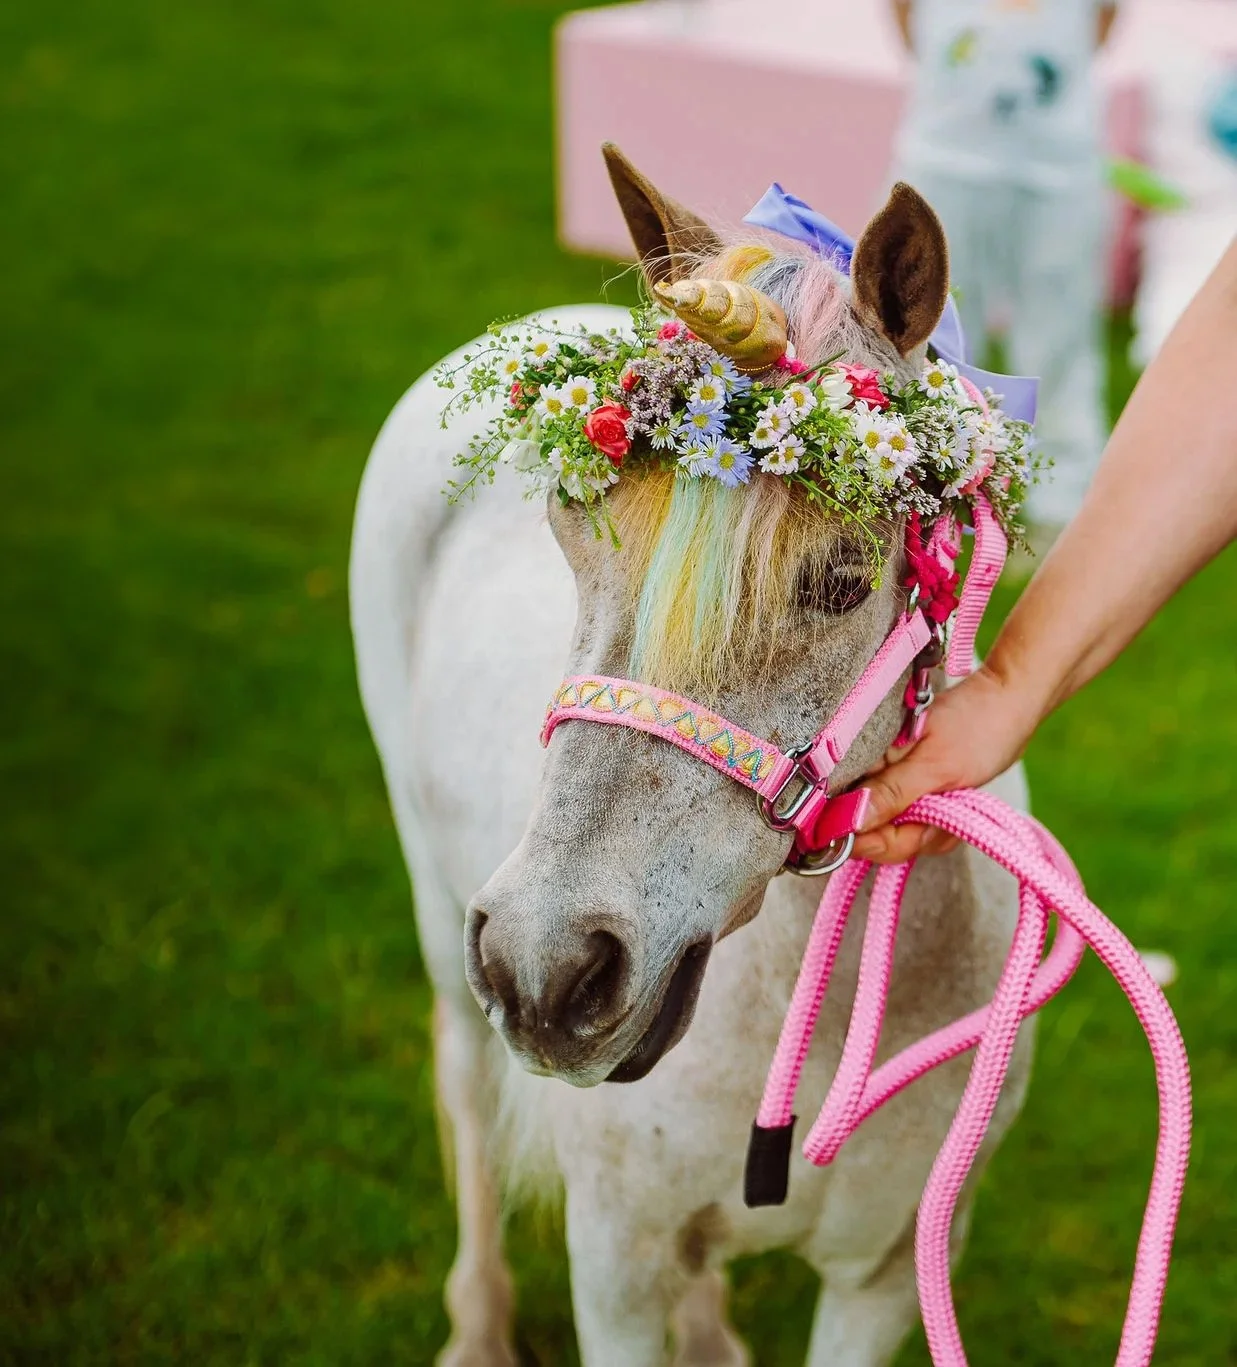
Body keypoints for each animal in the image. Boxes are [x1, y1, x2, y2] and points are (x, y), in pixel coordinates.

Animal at [349, 145, 1033, 1366]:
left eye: (843, 576)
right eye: (569, 520)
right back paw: (477, 1323)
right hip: (439, 919)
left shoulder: (879, 1280)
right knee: (464, 1090)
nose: (546, 968)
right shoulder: (612, 1269)